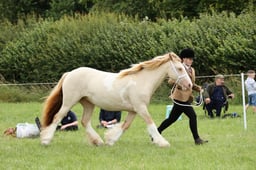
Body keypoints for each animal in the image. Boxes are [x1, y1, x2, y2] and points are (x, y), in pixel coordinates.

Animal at [40, 52, 192, 147]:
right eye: (179, 68)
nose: (190, 85)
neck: (141, 81)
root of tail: (70, 73)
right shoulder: (141, 108)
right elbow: (151, 124)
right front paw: (163, 143)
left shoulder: (133, 110)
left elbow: (125, 126)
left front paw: (110, 140)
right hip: (69, 102)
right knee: (57, 117)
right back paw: (46, 140)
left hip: (88, 103)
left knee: (85, 121)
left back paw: (98, 142)